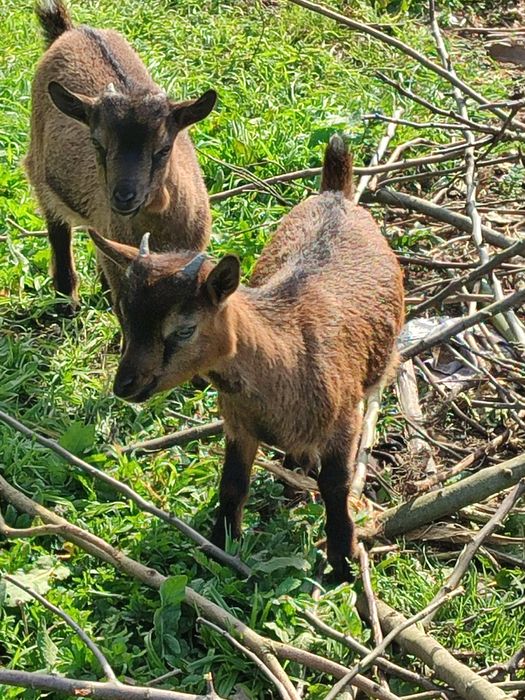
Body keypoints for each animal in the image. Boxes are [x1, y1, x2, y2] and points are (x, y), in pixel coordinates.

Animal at [25, 0, 216, 313]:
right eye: (97, 143)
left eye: (164, 149)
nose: (123, 197)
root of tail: (71, 31)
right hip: (39, 170)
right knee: (57, 229)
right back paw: (67, 301)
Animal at [90, 136, 404, 580]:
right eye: (123, 313)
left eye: (184, 329)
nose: (125, 385)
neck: (288, 352)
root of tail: (336, 192)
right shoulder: (238, 423)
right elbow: (233, 485)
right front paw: (222, 547)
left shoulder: (344, 422)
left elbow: (336, 486)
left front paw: (342, 564)